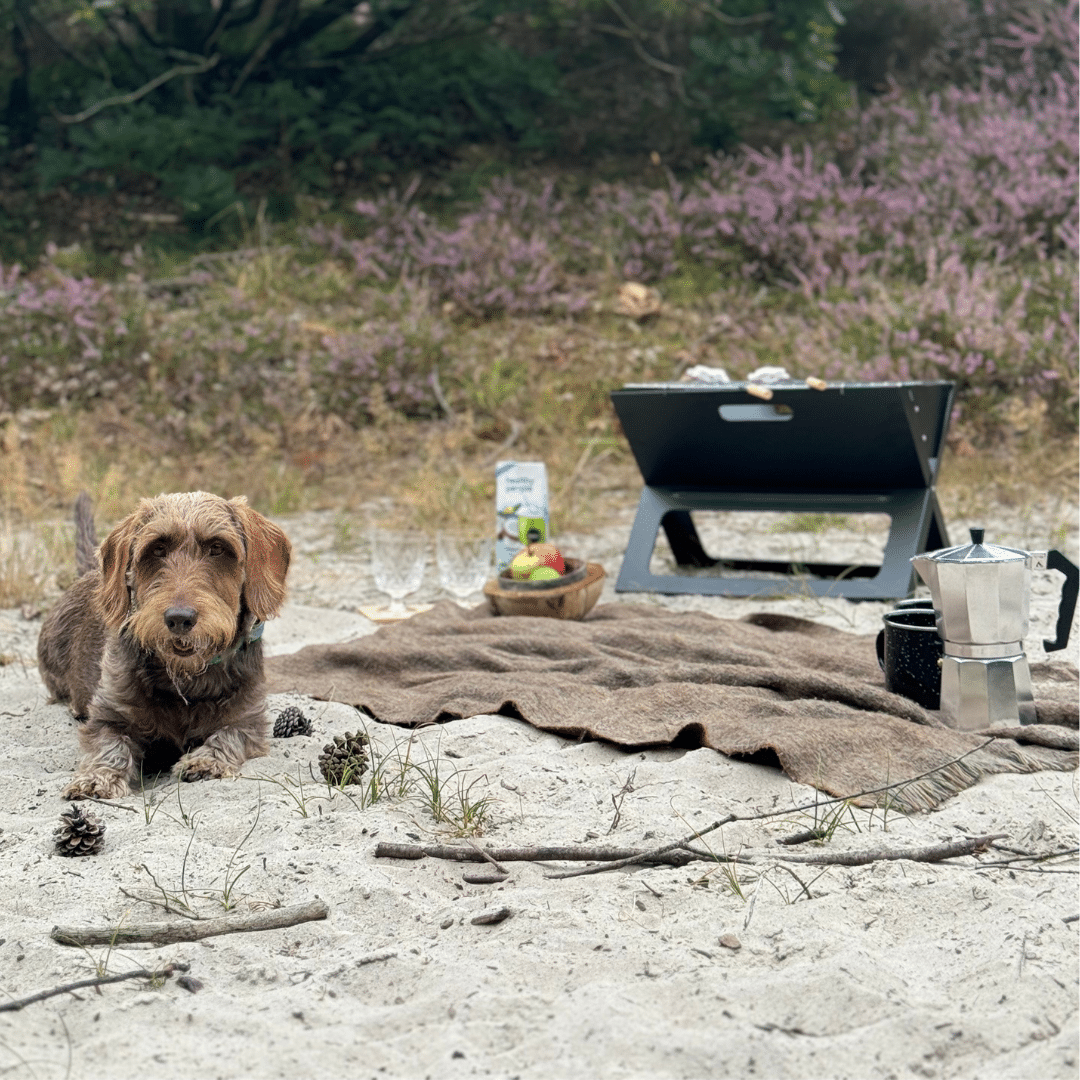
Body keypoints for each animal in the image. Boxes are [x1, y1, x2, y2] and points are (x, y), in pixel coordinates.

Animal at [37, 492, 291, 803]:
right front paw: (98, 778)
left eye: (217, 548)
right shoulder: (109, 715)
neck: (185, 677)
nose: (179, 618)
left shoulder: (248, 720)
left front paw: (206, 760)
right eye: (157, 549)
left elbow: (229, 735)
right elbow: (109, 745)